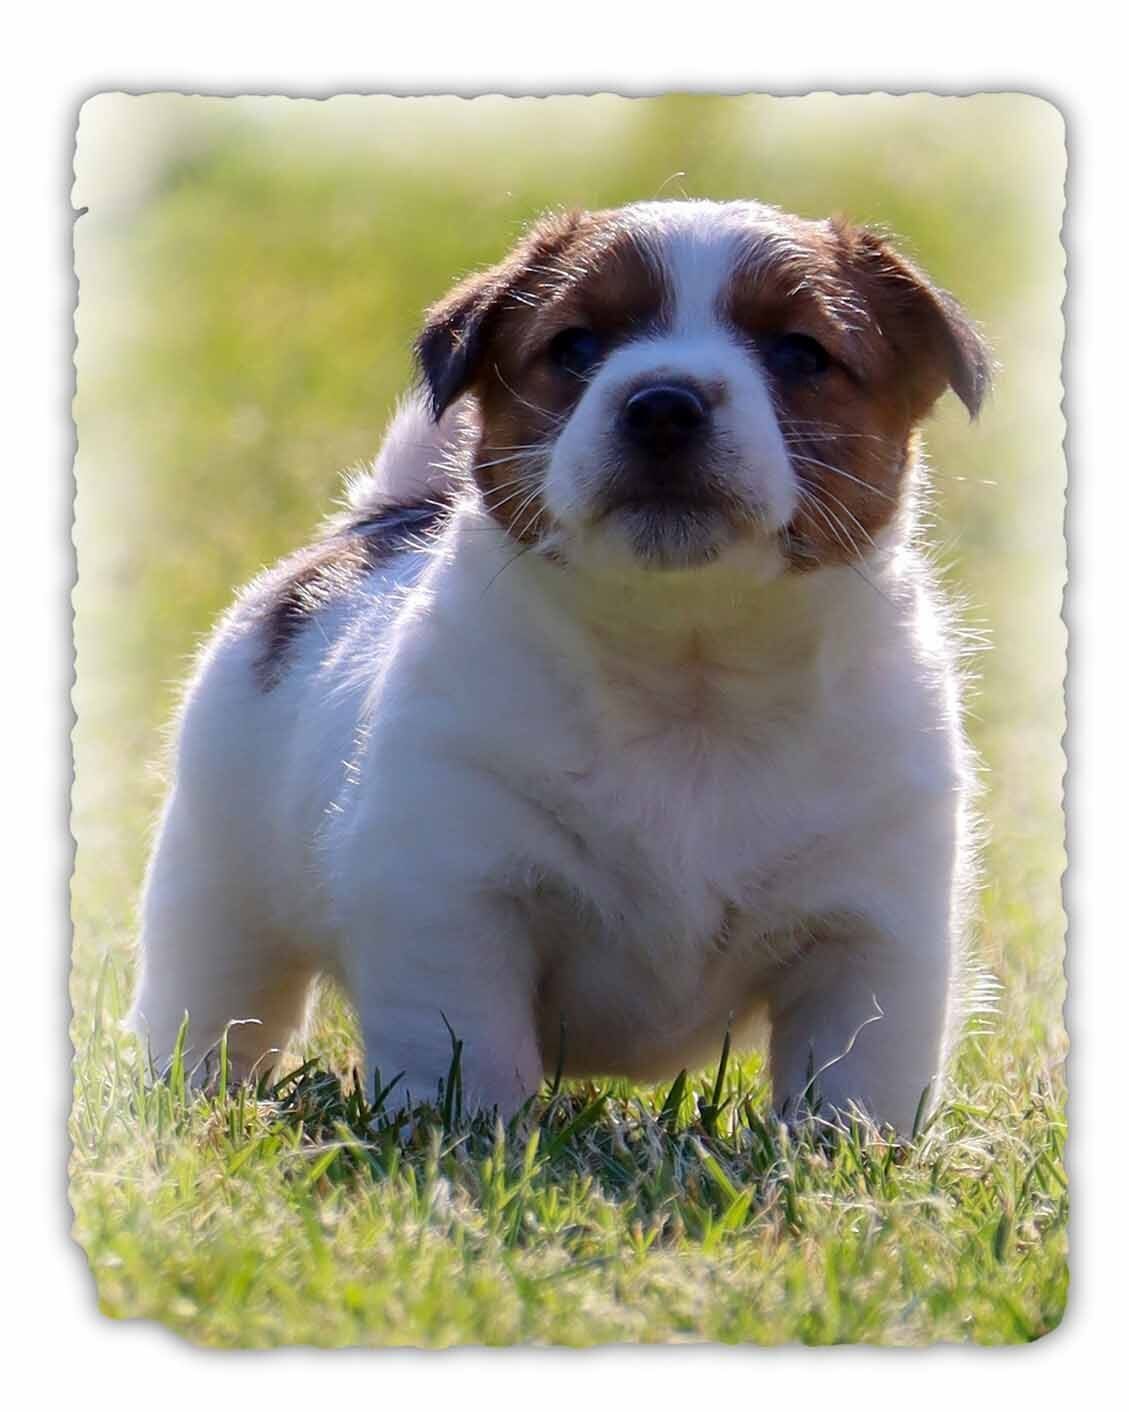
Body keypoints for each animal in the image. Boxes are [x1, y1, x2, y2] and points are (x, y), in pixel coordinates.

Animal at [127, 199, 990, 1132]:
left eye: (800, 353)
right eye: (575, 347)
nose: (662, 404)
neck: (687, 675)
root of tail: (381, 517)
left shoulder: (872, 931)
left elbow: (859, 1066)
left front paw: (851, 1148)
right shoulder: (453, 892)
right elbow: (464, 1042)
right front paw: (466, 1134)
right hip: (215, 890)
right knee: (216, 1002)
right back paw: (195, 1094)